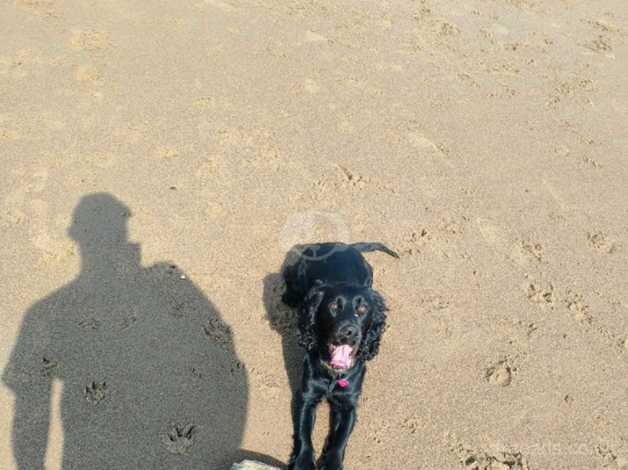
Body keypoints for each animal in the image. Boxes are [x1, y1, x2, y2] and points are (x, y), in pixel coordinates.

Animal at [284, 242, 398, 470]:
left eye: (362, 308)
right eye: (333, 306)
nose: (349, 331)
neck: (334, 375)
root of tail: (343, 244)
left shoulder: (348, 403)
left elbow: (340, 438)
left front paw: (331, 463)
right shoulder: (307, 395)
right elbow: (304, 434)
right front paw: (303, 462)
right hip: (301, 271)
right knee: (289, 275)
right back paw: (289, 297)